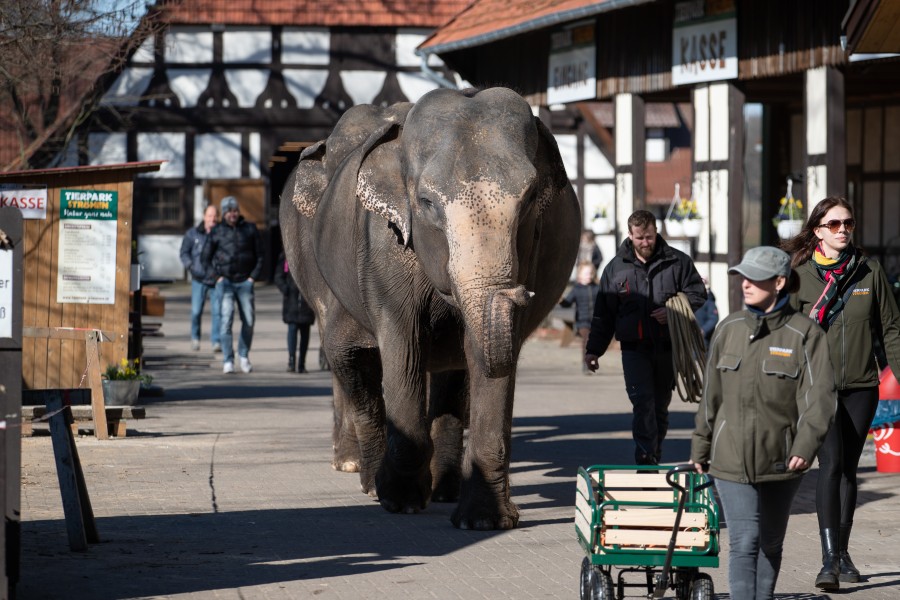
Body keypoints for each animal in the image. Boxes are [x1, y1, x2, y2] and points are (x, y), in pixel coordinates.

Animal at [278, 85, 580, 528]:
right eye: (426, 203)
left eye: (527, 201)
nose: (519, 295)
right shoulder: (382, 246)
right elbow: (401, 352)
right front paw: (397, 500)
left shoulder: (531, 252)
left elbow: (478, 358)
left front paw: (484, 520)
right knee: (351, 361)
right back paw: (361, 471)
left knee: (452, 375)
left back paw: (443, 490)